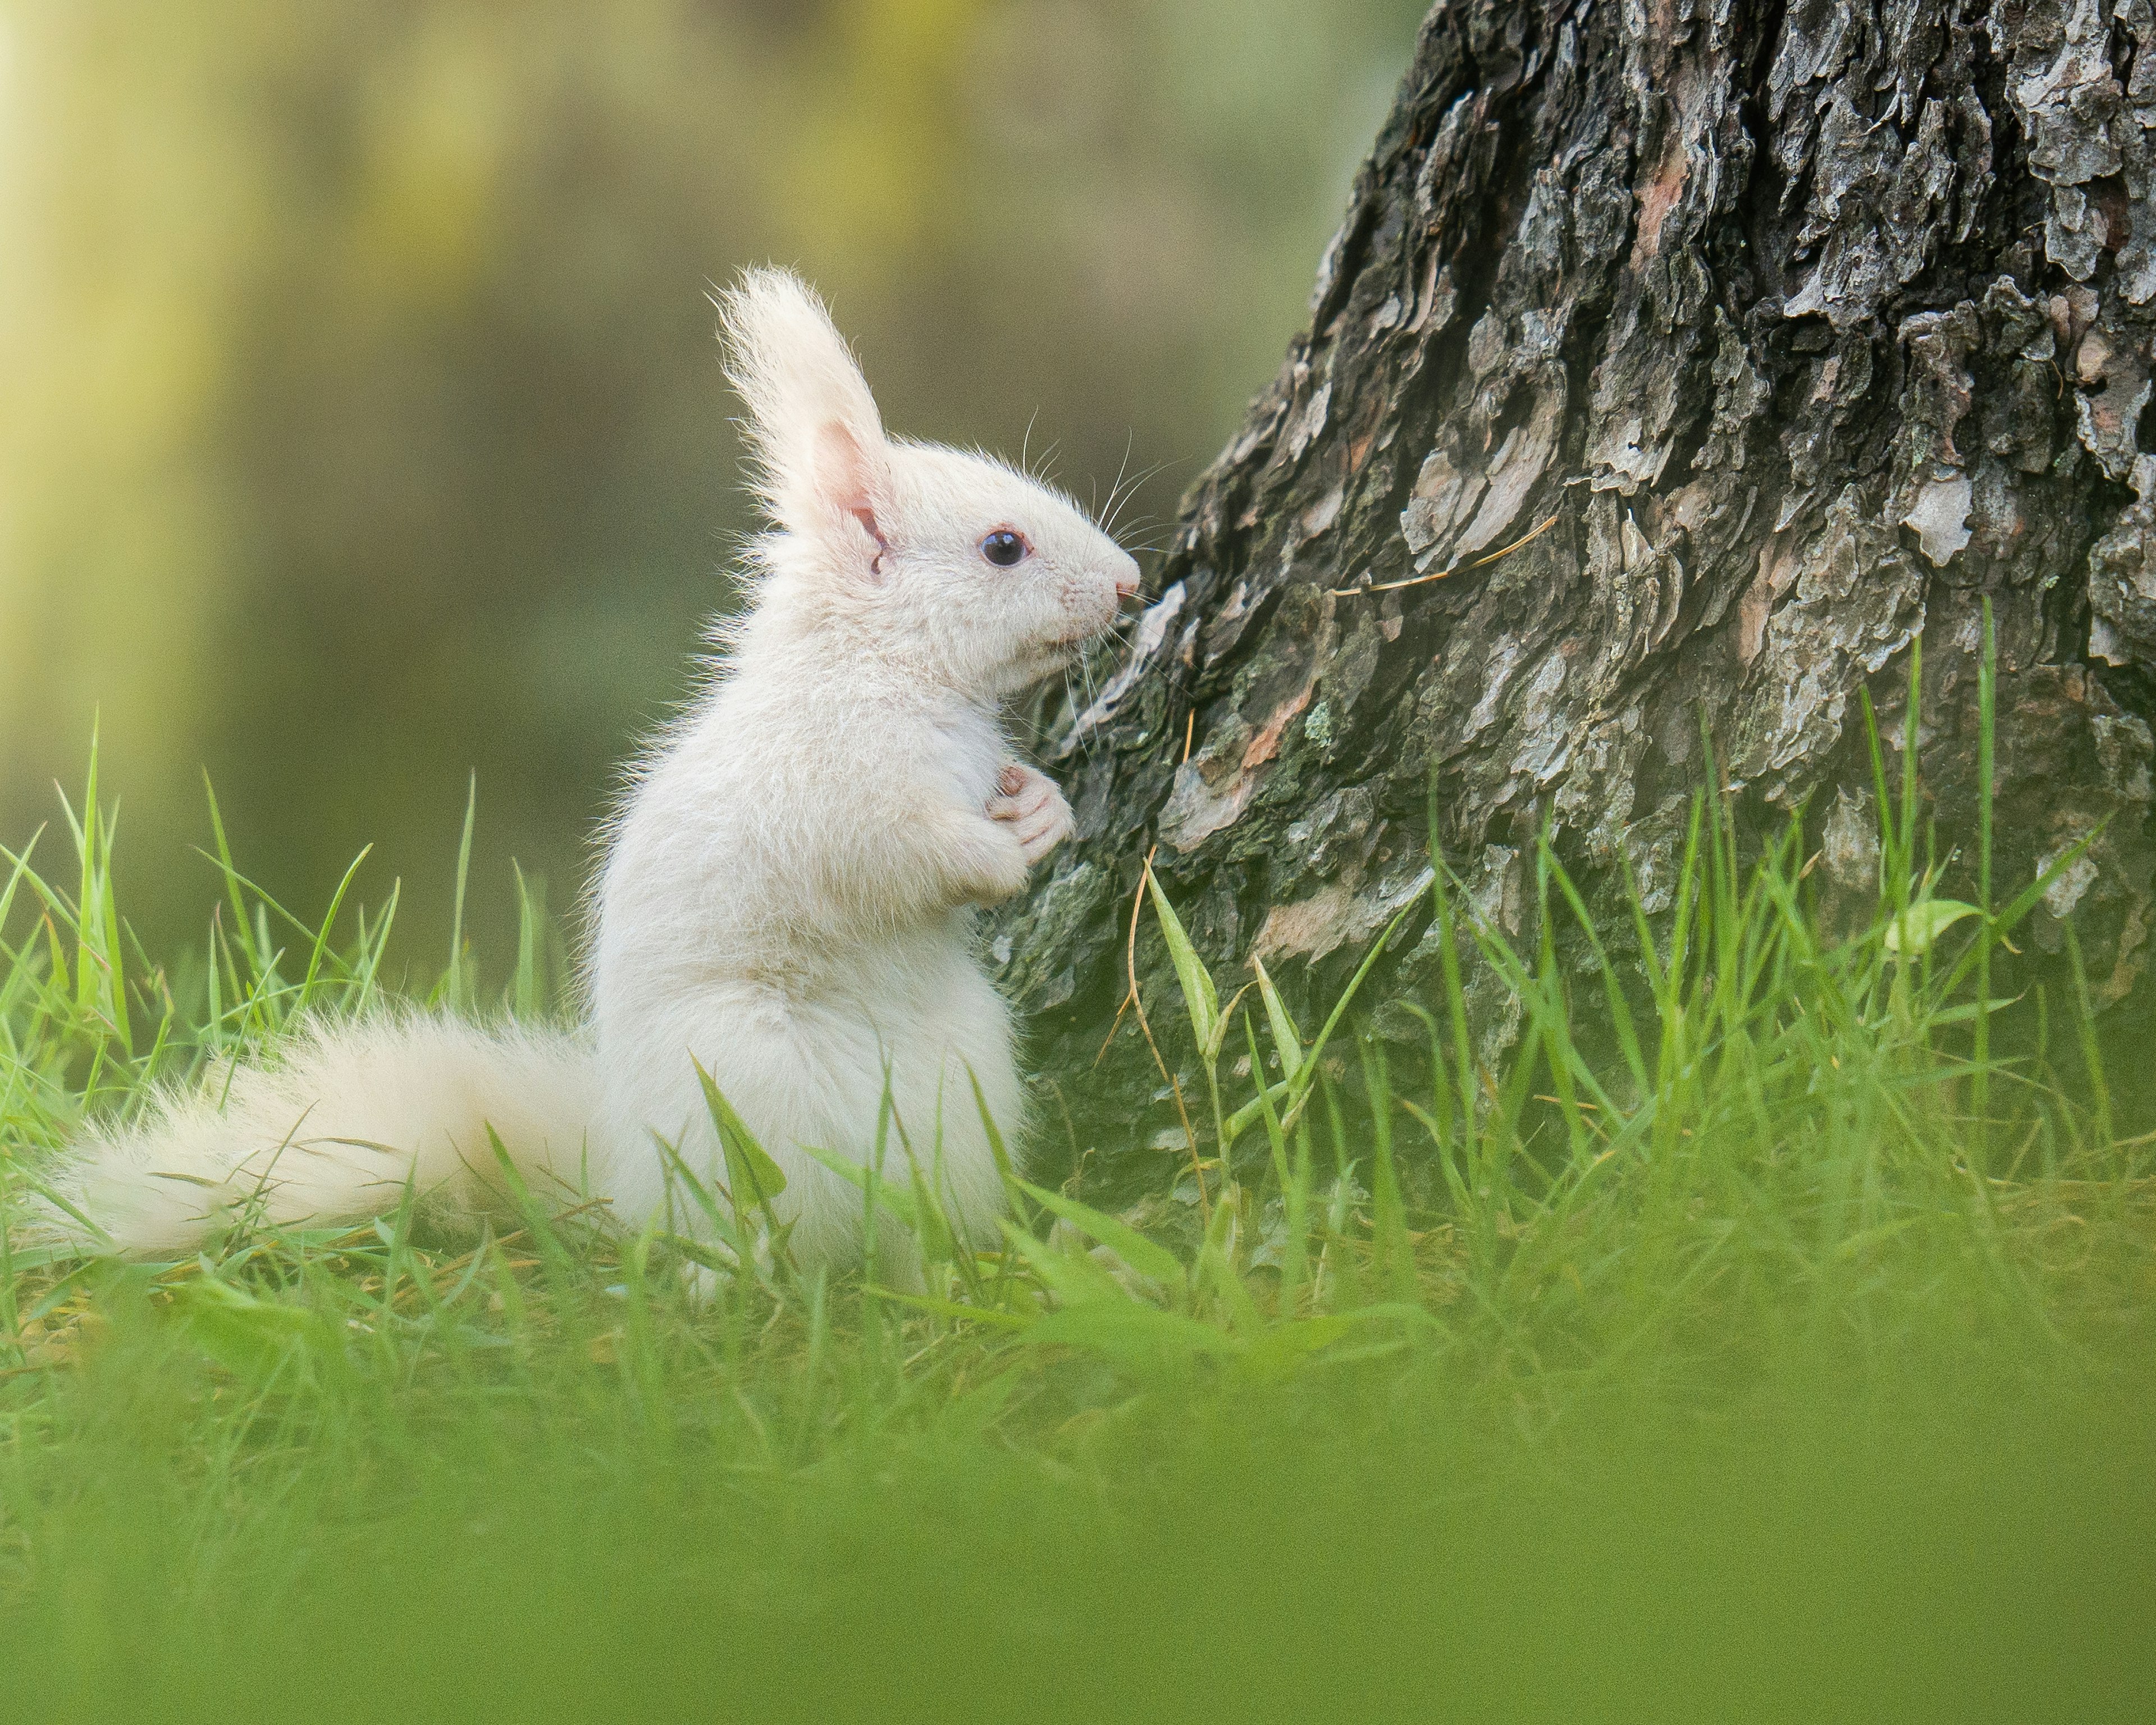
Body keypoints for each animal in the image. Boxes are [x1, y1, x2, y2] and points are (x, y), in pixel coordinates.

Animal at [34, 270, 1138, 1267]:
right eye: (1004, 546)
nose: (1130, 584)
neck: (890, 673)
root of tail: (626, 1183)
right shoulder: (825, 793)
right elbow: (894, 854)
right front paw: (996, 861)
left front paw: (1042, 815)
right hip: (742, 1082)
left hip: (964, 1085)